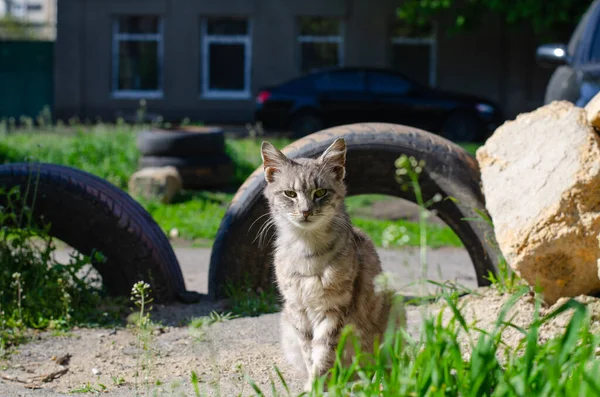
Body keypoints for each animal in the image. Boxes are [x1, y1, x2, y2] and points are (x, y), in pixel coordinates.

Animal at [258, 138, 392, 388]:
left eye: (320, 192)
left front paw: (318, 385)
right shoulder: (298, 309)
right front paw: (314, 384)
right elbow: (309, 352)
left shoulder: (334, 309)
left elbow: (324, 351)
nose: (305, 211)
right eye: (290, 193)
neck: (307, 251)